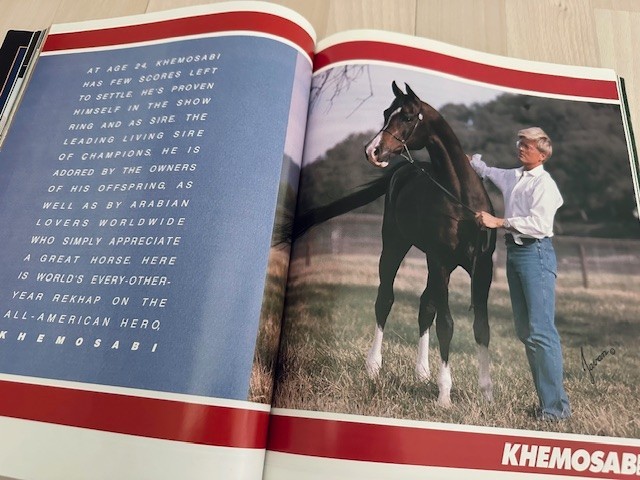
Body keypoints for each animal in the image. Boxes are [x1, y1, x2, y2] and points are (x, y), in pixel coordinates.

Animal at [293, 81, 496, 406]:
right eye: (386, 112)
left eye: (409, 117)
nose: (372, 151)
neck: (462, 202)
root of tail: (402, 171)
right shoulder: (441, 262)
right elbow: (447, 325)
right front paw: (444, 395)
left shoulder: (482, 268)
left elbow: (481, 327)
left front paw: (487, 393)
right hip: (394, 247)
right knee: (385, 300)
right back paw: (373, 367)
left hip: (431, 262)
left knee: (425, 306)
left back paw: (422, 373)